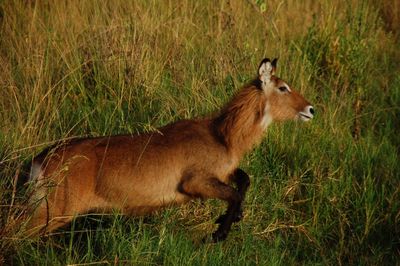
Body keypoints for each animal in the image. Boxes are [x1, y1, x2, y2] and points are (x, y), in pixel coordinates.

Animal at [25, 58, 314, 241]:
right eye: (283, 87)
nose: (311, 109)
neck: (222, 135)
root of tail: (41, 159)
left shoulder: (221, 173)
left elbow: (243, 179)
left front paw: (229, 219)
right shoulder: (194, 183)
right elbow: (234, 193)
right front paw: (218, 234)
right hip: (53, 212)